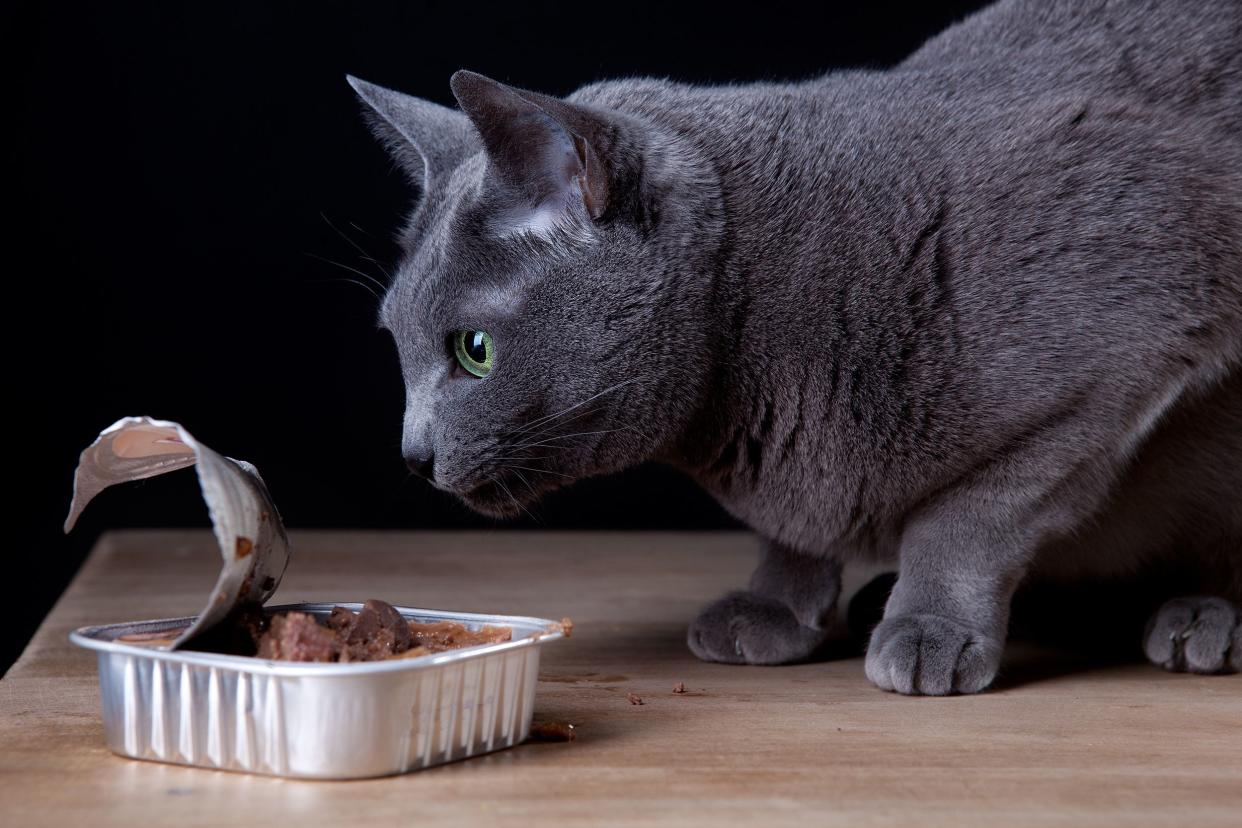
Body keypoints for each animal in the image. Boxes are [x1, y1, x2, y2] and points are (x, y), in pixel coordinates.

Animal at [350, 0, 1242, 695]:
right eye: (394, 340)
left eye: (473, 350)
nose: (412, 456)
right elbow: (794, 532)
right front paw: (776, 607)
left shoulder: (1126, 361)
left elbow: (971, 516)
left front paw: (928, 627)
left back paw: (1204, 620)